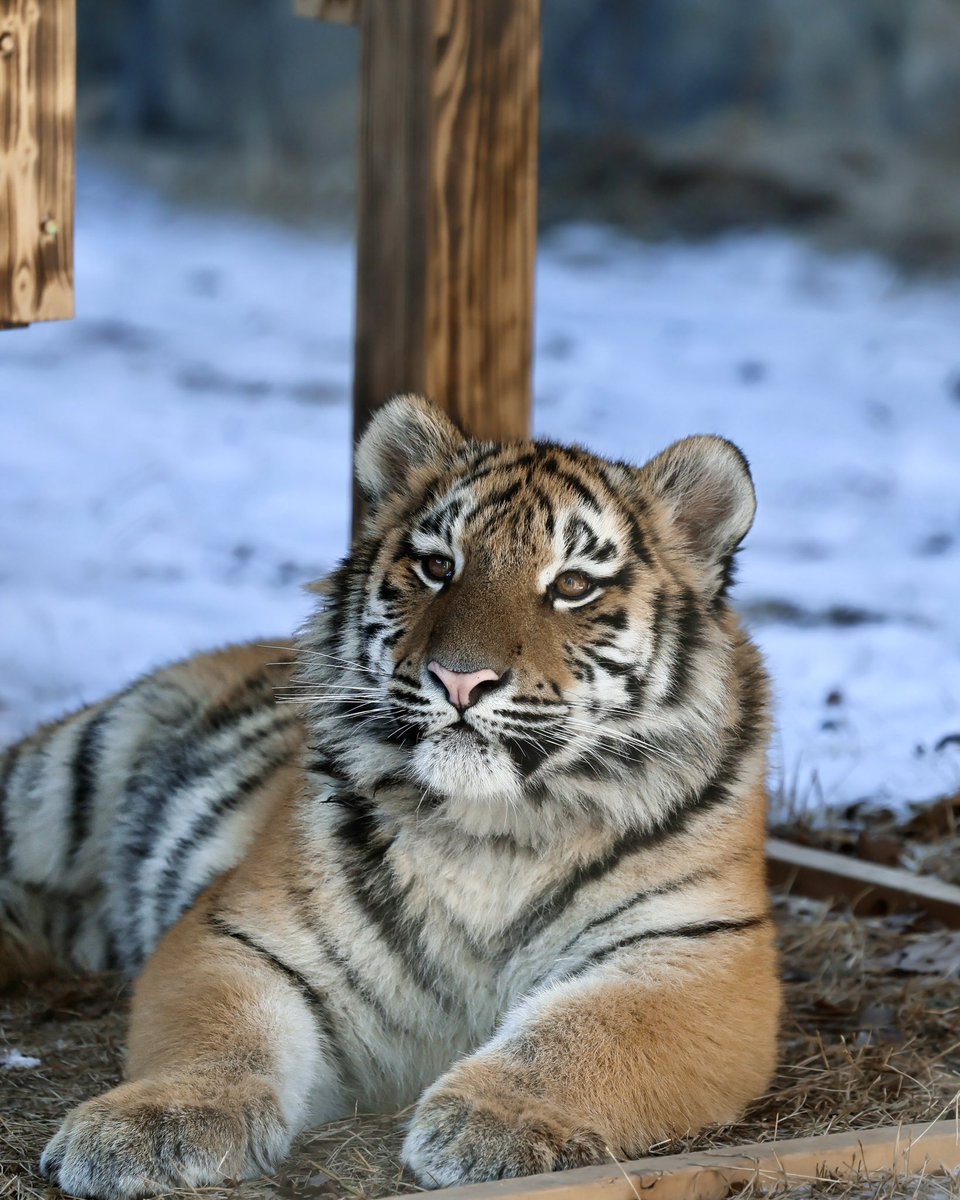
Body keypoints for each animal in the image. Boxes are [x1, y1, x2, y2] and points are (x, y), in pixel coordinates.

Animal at [0, 394, 780, 1198]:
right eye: (438, 566)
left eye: (571, 585)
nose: (460, 678)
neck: (496, 826)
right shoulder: (238, 929)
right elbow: (220, 1032)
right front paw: (150, 1124)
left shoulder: (697, 952)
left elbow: (584, 1036)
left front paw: (493, 1123)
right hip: (65, 774)